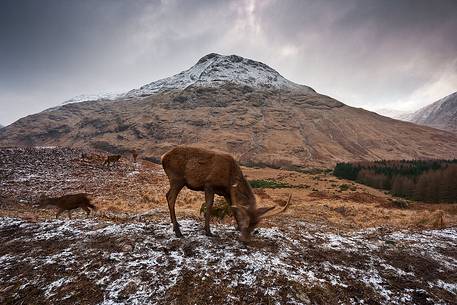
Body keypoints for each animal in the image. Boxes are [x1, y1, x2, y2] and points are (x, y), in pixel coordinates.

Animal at [160, 146, 288, 241]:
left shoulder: (226, 192)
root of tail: (163, 157)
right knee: (171, 197)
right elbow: (209, 205)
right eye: (245, 221)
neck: (230, 177)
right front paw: (208, 231)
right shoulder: (209, 184)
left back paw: (176, 224)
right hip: (177, 178)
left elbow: (233, 207)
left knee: (167, 195)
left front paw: (237, 227)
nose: (245, 239)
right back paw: (178, 232)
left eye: (255, 225)